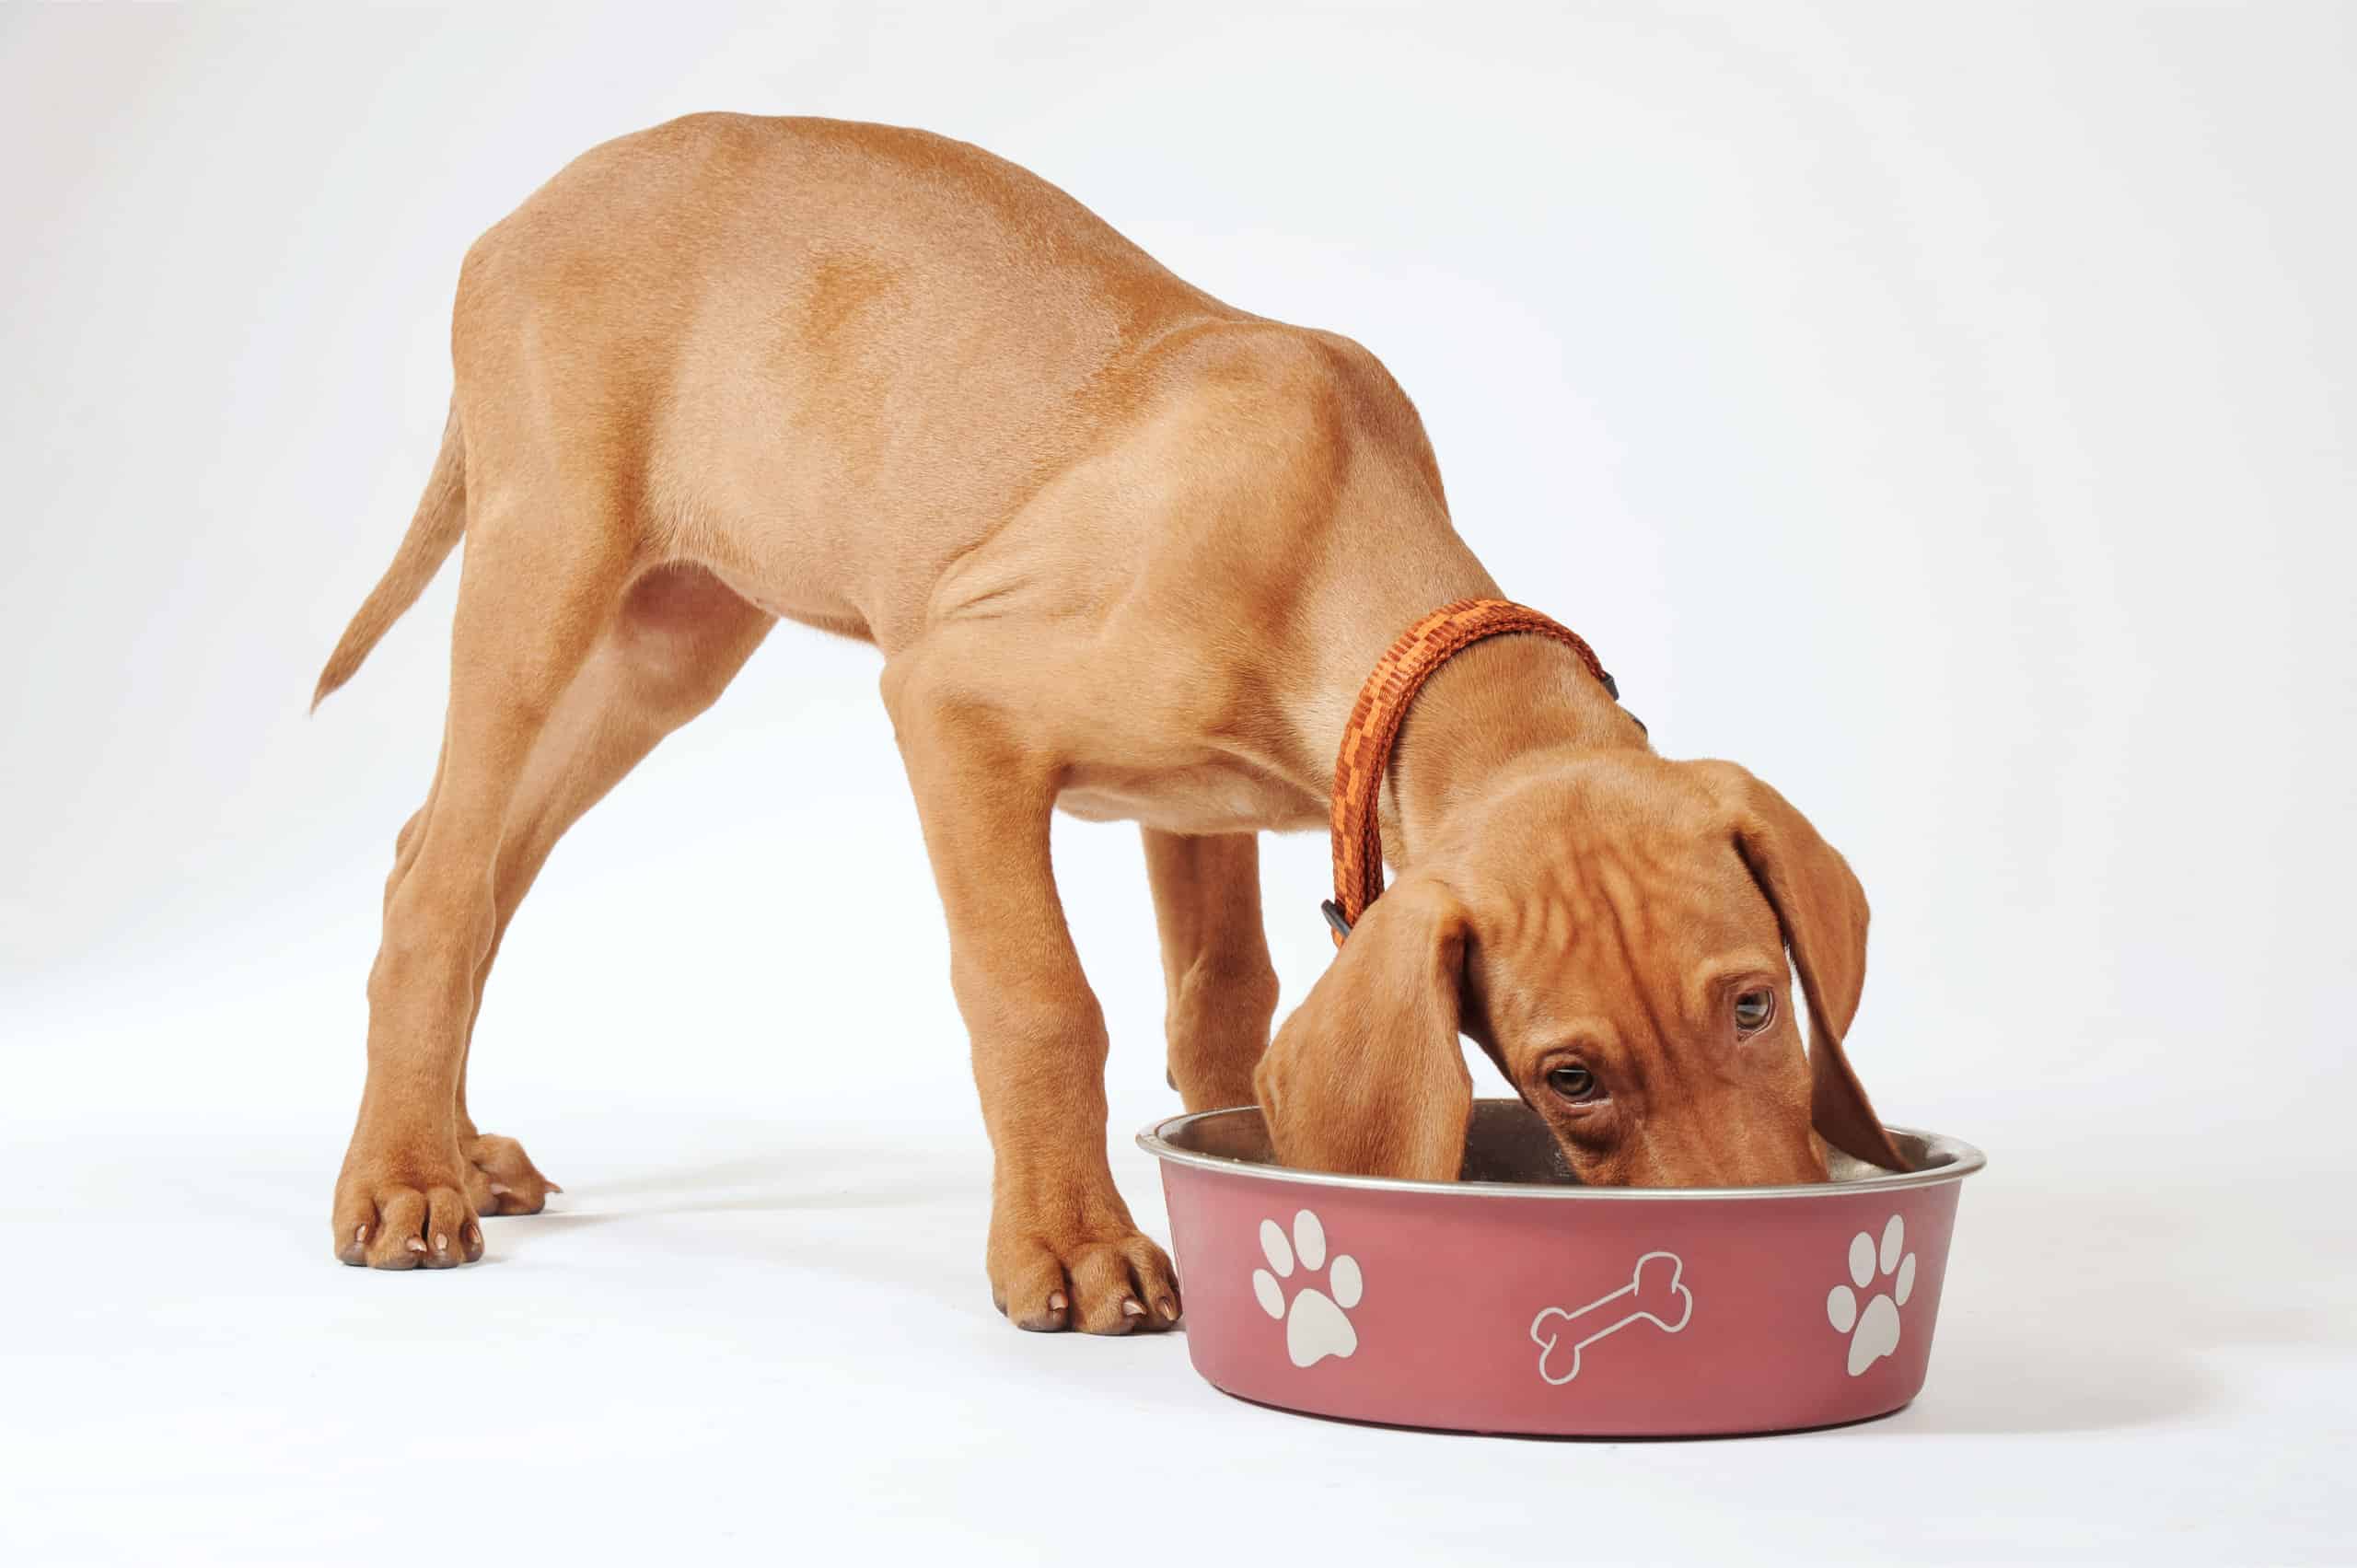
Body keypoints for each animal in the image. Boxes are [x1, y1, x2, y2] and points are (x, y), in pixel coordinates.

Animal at [313, 112, 1904, 1330]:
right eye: (1572, 1076)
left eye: (1755, 1001)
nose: (1754, 1261)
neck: (1340, 535)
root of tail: (517, 213)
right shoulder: (950, 701)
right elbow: (1040, 997)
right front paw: (1076, 1244)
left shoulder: (1196, 810)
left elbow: (1222, 1007)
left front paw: (1266, 1185)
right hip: (545, 570)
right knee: (442, 879)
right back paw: (400, 1177)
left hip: (670, 638)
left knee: (448, 856)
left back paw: (450, 1139)